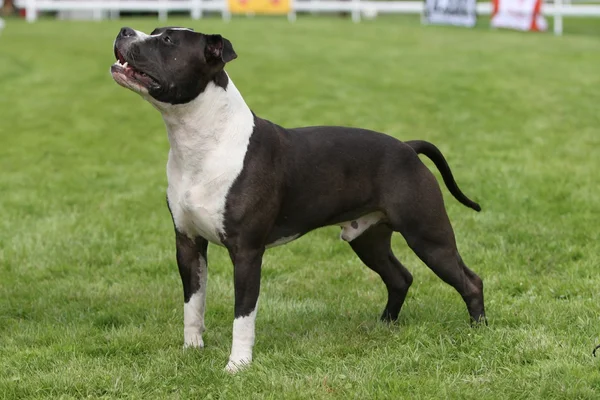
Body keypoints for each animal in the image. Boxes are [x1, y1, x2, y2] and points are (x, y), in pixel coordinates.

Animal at [110, 27, 488, 372]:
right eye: (155, 31)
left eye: (167, 41)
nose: (124, 30)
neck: (203, 142)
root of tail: (408, 147)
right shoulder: (188, 243)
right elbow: (193, 303)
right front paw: (192, 350)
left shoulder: (246, 253)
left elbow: (242, 315)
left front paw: (238, 365)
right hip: (368, 239)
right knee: (400, 277)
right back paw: (384, 325)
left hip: (428, 237)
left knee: (469, 280)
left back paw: (478, 332)